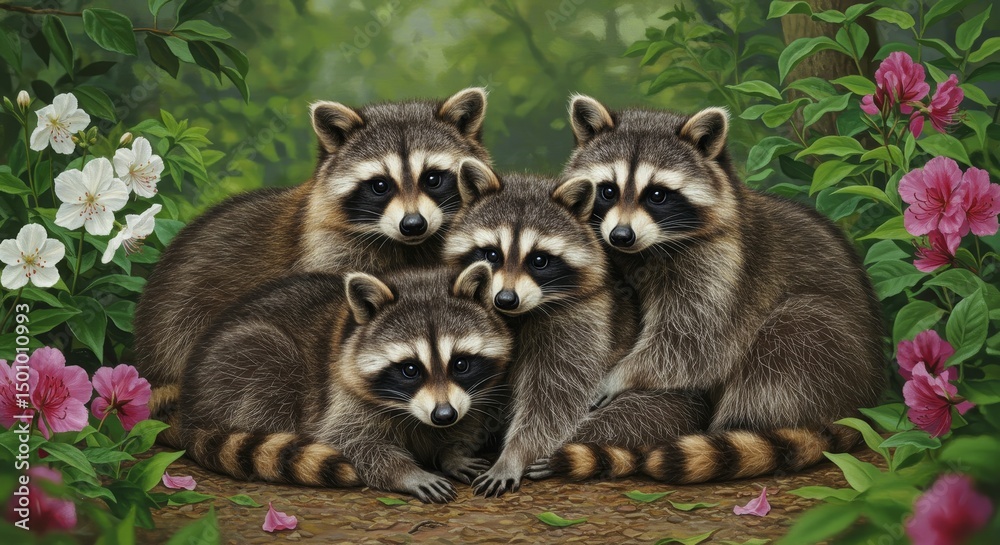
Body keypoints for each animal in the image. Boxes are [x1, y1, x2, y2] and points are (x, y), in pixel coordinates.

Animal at [177, 264, 512, 503]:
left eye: (460, 364)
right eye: (410, 370)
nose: (443, 415)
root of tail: (190, 404)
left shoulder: (473, 396)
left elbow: (466, 422)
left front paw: (452, 453)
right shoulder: (341, 390)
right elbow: (348, 439)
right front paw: (407, 473)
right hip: (241, 361)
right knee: (272, 369)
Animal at [442, 164, 653, 496]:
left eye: (539, 260)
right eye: (491, 255)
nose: (505, 299)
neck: (518, 315)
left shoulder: (581, 322)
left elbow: (553, 399)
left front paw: (514, 455)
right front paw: (455, 446)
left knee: (627, 415)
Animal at [528, 97, 885, 483]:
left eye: (657, 194)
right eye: (608, 190)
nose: (621, 236)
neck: (644, 249)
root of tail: (863, 401)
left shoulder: (723, 264)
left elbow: (694, 343)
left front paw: (620, 377)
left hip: (823, 353)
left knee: (788, 339)